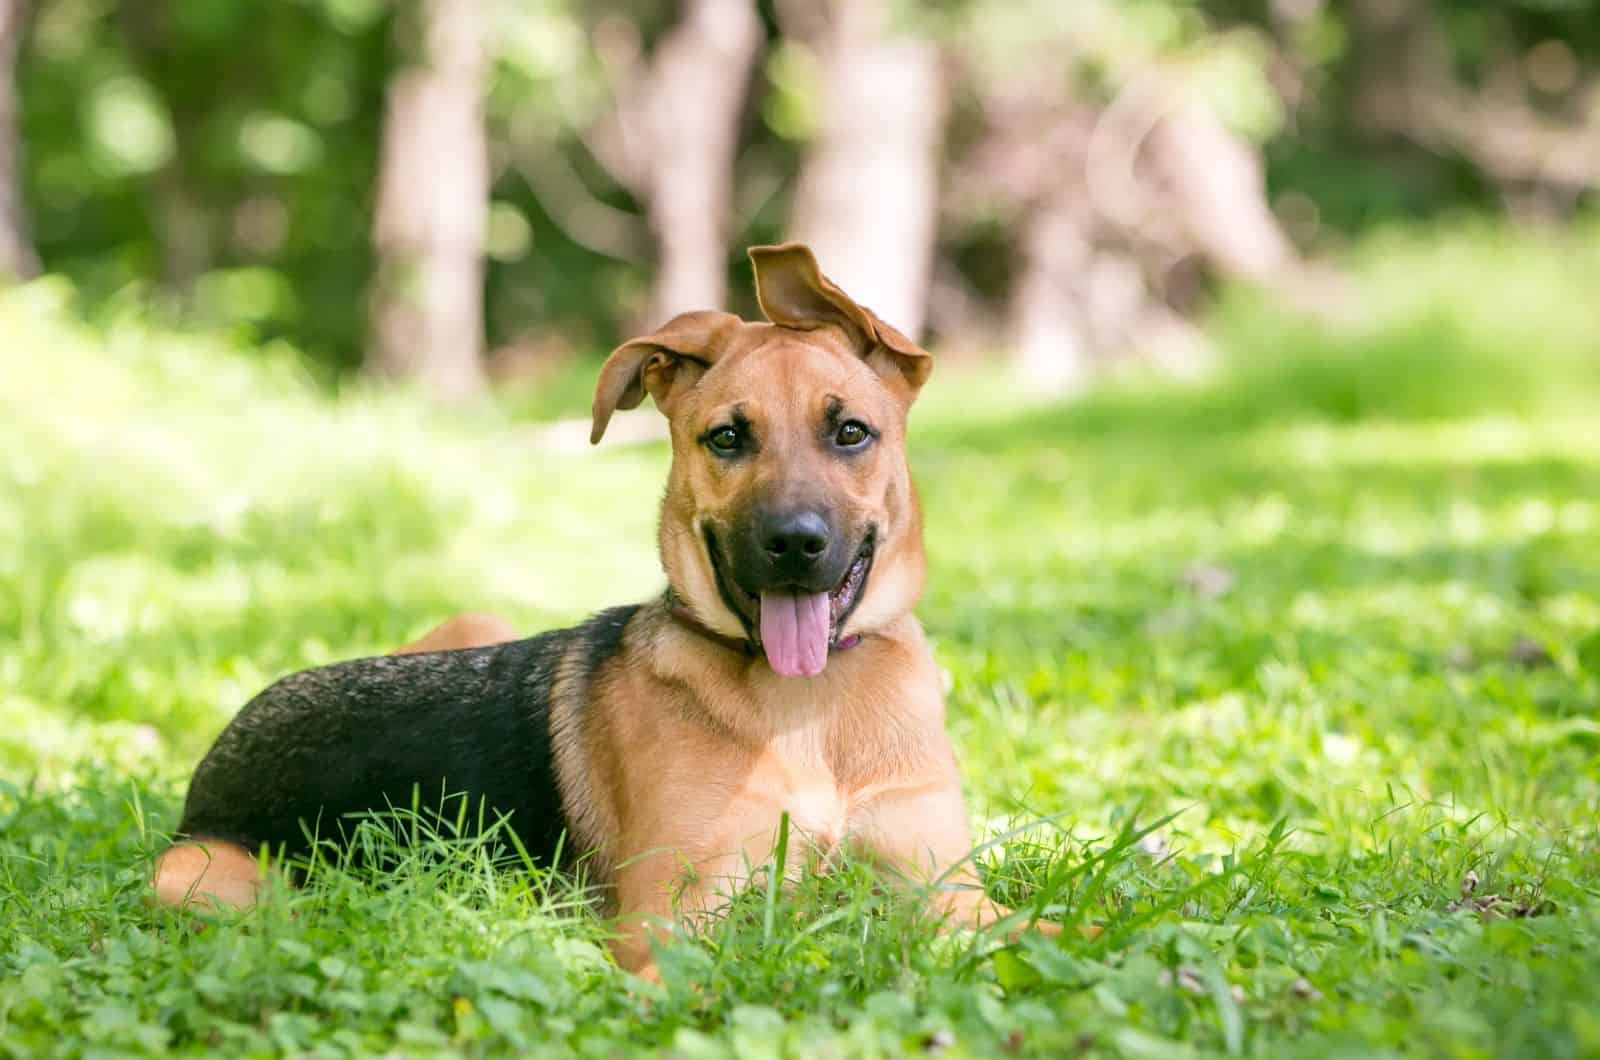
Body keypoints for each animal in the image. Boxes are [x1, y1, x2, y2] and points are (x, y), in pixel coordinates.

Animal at [147, 240, 1049, 979]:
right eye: (727, 439)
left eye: (851, 433)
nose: (794, 544)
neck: (813, 711)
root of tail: (216, 758)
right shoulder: (673, 919)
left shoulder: (946, 890)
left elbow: (1049, 928)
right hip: (207, 882)